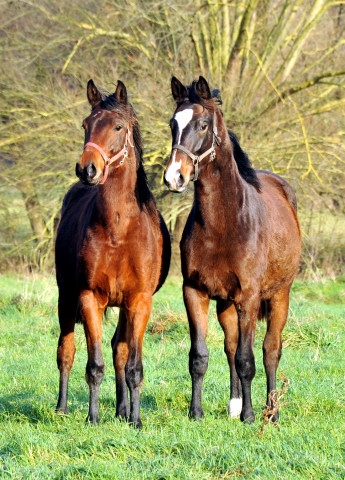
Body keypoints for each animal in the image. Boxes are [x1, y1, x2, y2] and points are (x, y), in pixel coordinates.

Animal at [54, 79, 171, 428]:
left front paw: (136, 420)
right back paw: (62, 408)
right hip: (66, 296)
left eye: (118, 126)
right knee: (66, 351)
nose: (87, 169)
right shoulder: (89, 297)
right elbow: (94, 365)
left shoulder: (139, 301)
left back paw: (121, 411)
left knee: (119, 350)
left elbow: (132, 365)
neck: (119, 230)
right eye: (86, 125)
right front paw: (92, 418)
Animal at [163, 76, 300, 424]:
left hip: (279, 296)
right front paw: (196, 412)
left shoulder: (249, 298)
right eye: (173, 123)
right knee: (230, 345)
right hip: (225, 304)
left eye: (203, 124)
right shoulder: (194, 292)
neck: (224, 224)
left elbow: (247, 359)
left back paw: (269, 411)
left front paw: (249, 416)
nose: (174, 177)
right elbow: (200, 356)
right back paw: (234, 404)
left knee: (270, 350)